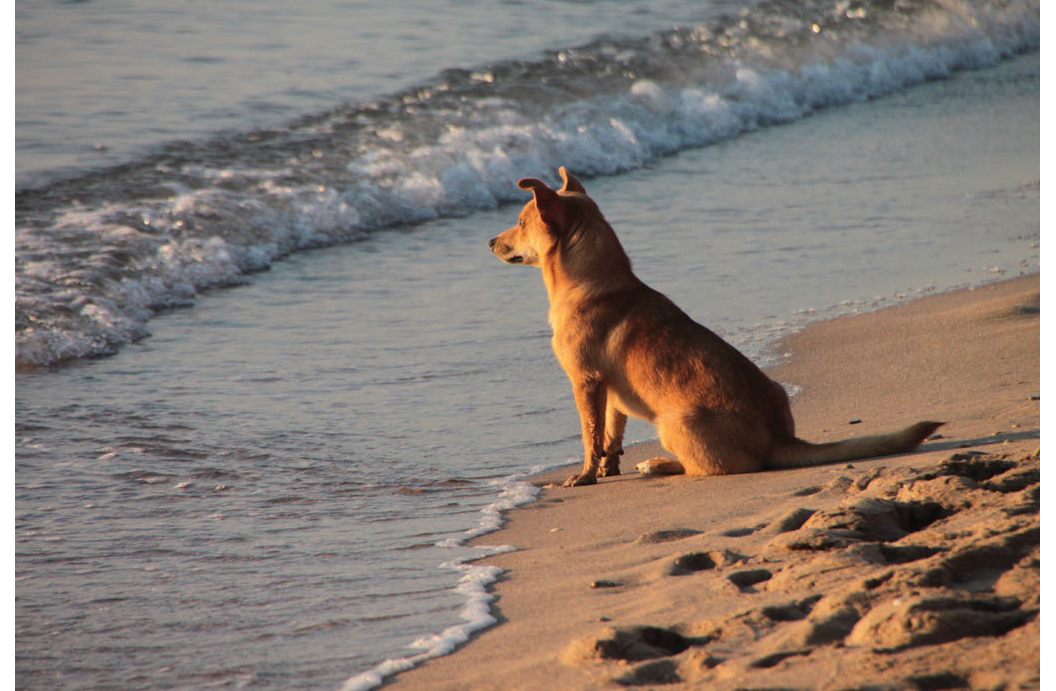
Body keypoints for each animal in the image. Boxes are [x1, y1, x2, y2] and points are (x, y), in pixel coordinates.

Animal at [485, 169, 941, 488]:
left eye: (521, 223)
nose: (490, 241)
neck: (591, 281)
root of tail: (779, 440)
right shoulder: (607, 390)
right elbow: (611, 434)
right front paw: (608, 468)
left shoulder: (585, 382)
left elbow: (589, 437)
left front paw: (584, 475)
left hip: (673, 422)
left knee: (706, 468)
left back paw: (657, 464)